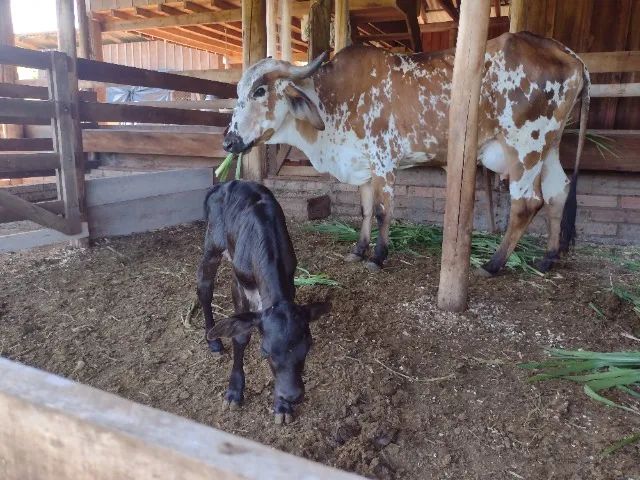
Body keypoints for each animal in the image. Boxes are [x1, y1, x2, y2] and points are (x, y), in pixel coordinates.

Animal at [197, 180, 331, 424]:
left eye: (308, 346)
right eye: (265, 351)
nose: (292, 395)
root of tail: (225, 183)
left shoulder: (290, 279)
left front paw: (282, 407)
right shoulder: (239, 282)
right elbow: (240, 335)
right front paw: (234, 392)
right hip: (212, 243)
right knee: (204, 288)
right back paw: (213, 341)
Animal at [223, 31, 590, 275]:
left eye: (259, 91)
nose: (228, 141)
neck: (333, 97)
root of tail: (567, 53)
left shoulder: (384, 160)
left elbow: (383, 211)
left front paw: (378, 255)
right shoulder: (363, 165)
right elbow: (365, 209)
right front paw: (359, 249)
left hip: (526, 144)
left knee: (527, 202)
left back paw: (493, 264)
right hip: (550, 146)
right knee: (558, 193)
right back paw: (549, 257)